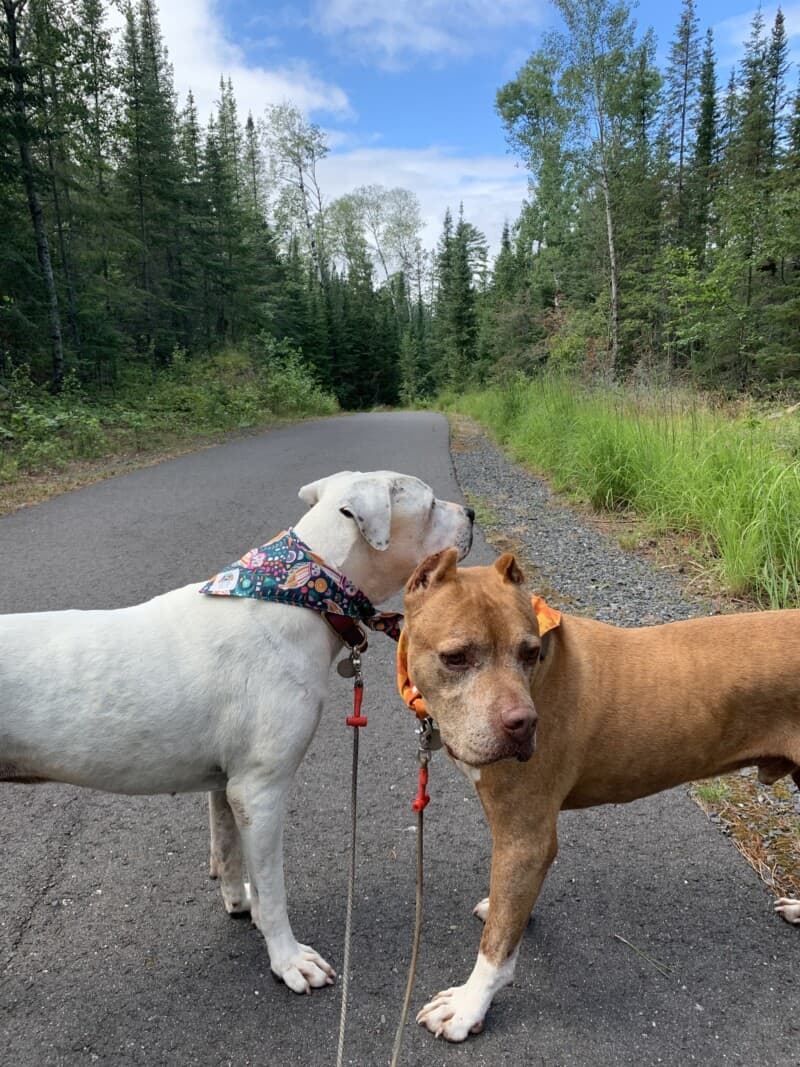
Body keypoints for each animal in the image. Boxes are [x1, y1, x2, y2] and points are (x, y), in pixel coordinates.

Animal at [0, 471, 473, 994]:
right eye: (430, 506)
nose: (471, 513)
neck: (304, 593)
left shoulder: (227, 787)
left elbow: (229, 853)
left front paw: (242, 905)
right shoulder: (260, 792)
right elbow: (275, 887)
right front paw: (288, 958)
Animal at [403, 550, 800, 1041]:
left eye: (529, 653)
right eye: (455, 658)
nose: (523, 724)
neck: (544, 670)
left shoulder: (526, 837)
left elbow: (495, 946)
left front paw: (468, 1005)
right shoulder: (521, 845)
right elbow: (508, 912)